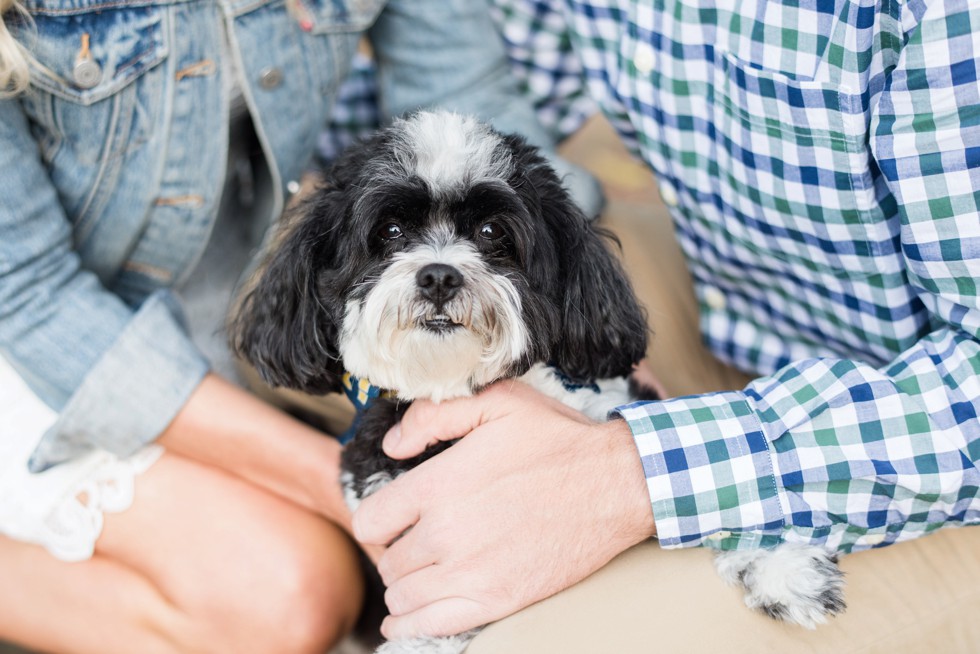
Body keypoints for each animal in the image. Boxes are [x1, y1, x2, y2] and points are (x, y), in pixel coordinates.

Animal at [230, 111, 844, 652]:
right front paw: (426, 642)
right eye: (391, 230)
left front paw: (781, 562)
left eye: (490, 231)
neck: (460, 384)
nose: (438, 275)